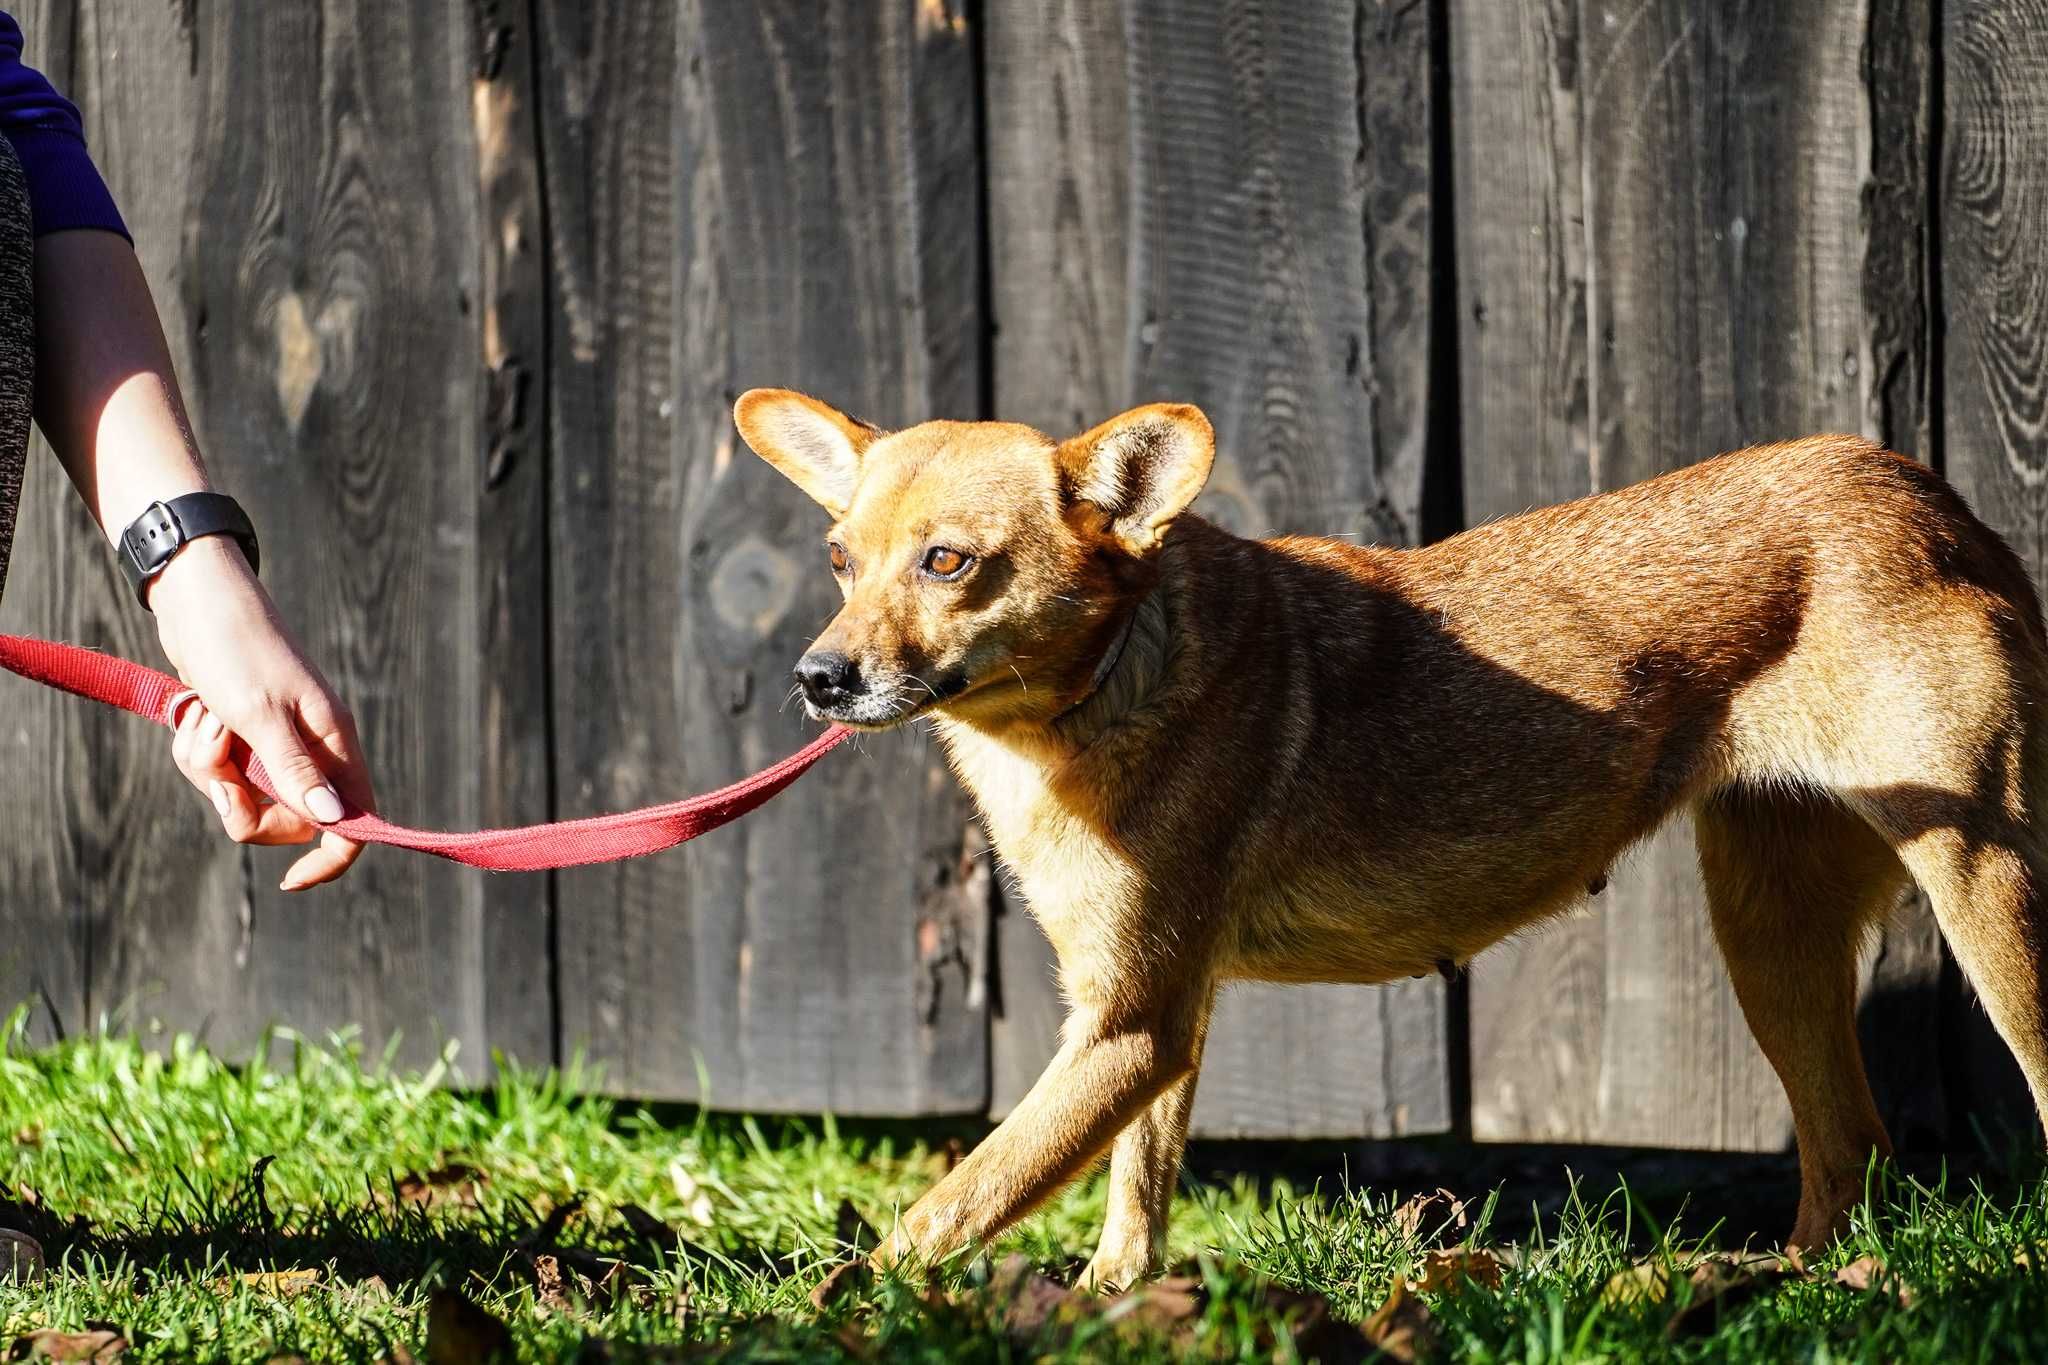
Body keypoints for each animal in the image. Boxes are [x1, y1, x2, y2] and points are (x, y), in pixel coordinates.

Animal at [733, 388, 2048, 1285]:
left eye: (947, 562)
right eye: (840, 559)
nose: (816, 679)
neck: (1111, 676)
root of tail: (1917, 488)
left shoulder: (1125, 1026)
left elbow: (955, 1201)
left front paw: (840, 1308)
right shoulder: (1153, 1018)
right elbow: (1133, 1193)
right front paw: (1111, 1298)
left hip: (1985, 893)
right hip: (1769, 940)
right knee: (1849, 1151)